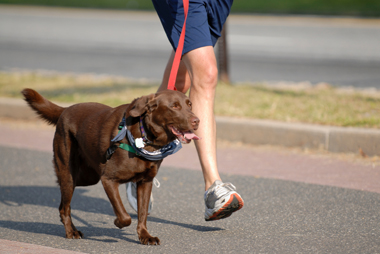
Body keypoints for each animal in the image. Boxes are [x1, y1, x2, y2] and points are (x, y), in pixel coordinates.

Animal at [21, 88, 200, 245]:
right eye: (174, 106)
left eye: (190, 105)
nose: (197, 121)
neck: (145, 138)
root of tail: (66, 110)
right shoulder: (108, 179)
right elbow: (125, 215)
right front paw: (118, 223)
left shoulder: (145, 182)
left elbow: (142, 214)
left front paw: (145, 236)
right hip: (69, 173)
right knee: (65, 206)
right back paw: (71, 232)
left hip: (87, 177)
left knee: (63, 205)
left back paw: (73, 228)